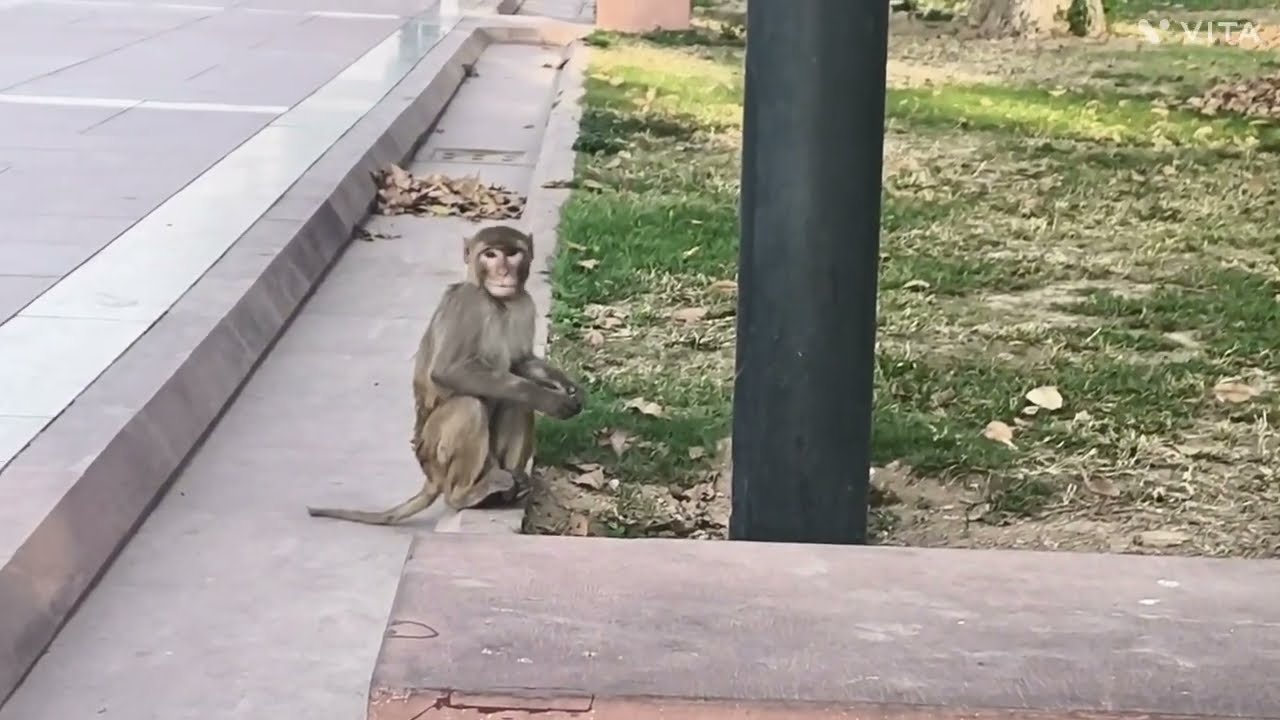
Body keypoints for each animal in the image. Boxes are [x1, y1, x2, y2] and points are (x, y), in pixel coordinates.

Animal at [305, 225, 584, 525]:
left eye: (512, 253)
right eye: (490, 255)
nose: (503, 273)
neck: (497, 302)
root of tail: (431, 476)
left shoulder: (523, 303)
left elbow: (520, 364)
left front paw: (567, 387)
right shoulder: (468, 302)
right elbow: (449, 371)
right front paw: (550, 400)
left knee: (515, 401)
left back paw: (513, 485)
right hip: (433, 453)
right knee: (469, 406)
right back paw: (464, 495)